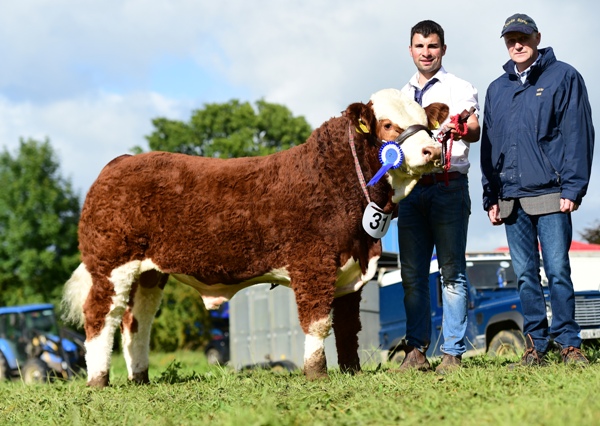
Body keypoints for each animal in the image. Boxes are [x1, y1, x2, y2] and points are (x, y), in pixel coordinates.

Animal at [63, 88, 448, 388]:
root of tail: (119, 163)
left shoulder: (351, 270)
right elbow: (318, 321)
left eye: (428, 124)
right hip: (112, 264)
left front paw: (351, 371)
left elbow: (348, 326)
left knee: (136, 322)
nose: (431, 151)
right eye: (387, 124)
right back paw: (98, 380)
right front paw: (316, 373)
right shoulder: (313, 263)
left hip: (149, 273)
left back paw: (140, 377)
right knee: (100, 316)